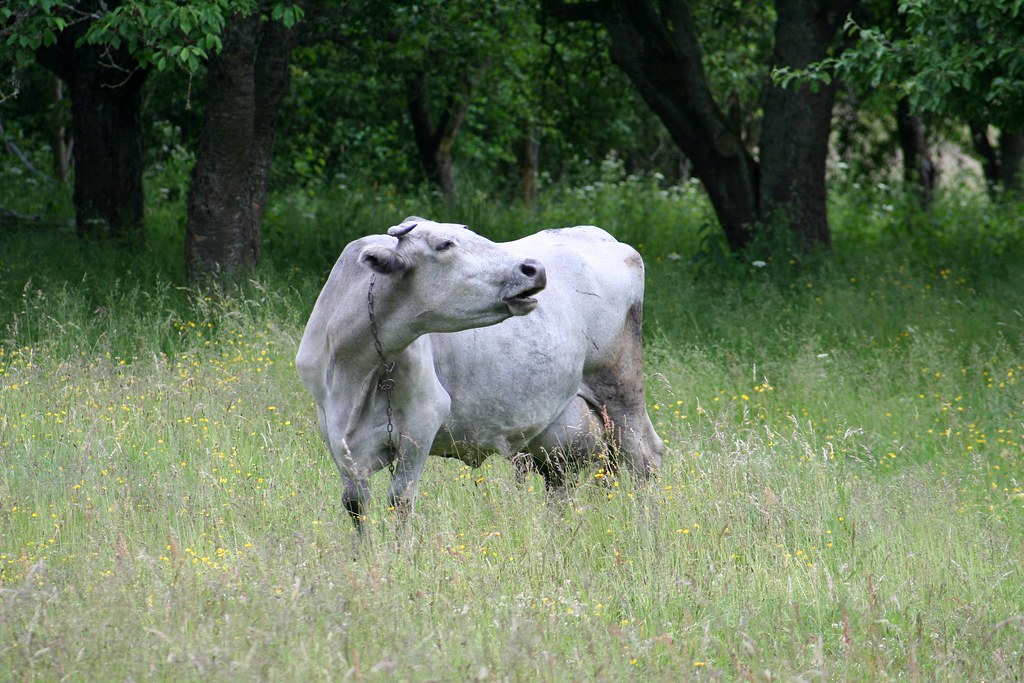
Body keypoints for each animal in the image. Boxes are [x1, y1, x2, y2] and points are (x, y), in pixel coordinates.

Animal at [295, 217, 664, 530]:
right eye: (444, 244)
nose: (534, 268)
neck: (355, 367)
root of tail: (603, 237)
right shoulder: (335, 431)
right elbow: (355, 504)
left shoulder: (422, 421)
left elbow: (400, 499)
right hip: (560, 429)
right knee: (564, 482)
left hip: (621, 390)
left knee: (646, 459)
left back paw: (649, 531)